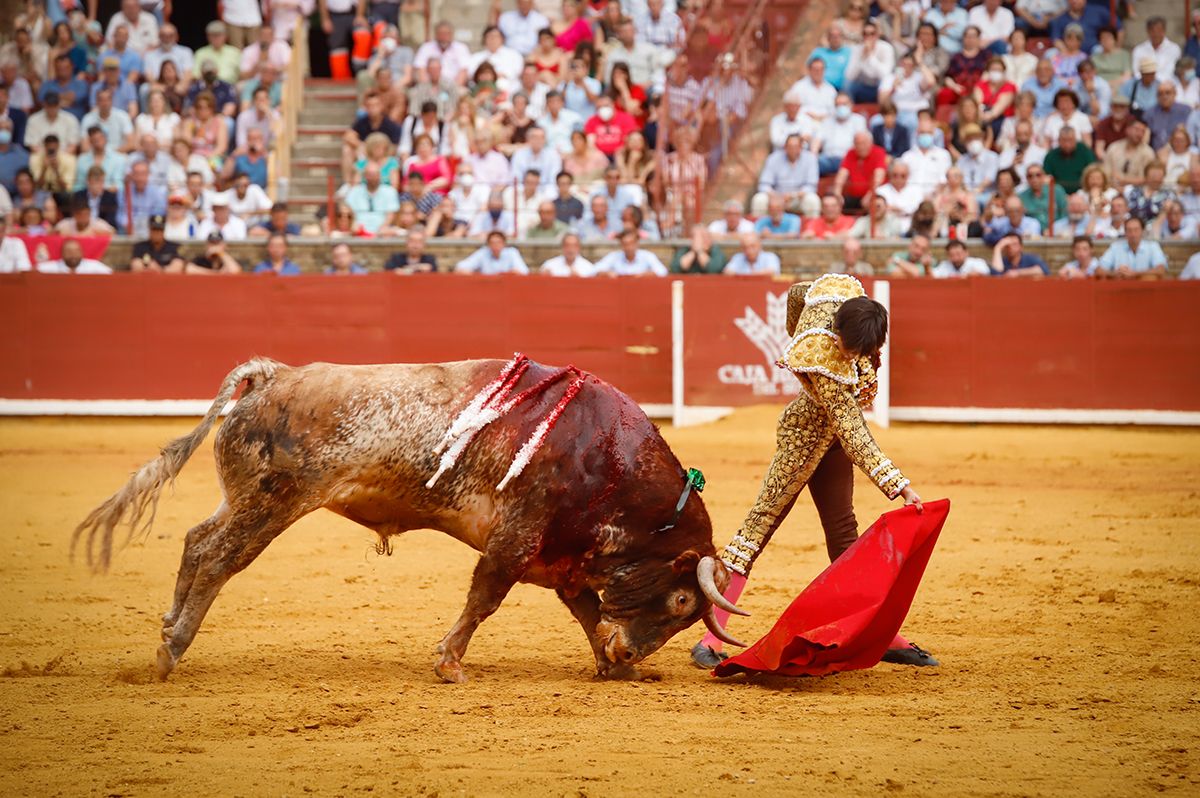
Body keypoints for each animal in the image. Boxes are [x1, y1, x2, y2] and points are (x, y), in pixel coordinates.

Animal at [75, 357, 744, 681]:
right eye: (682, 603)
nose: (633, 655)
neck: (605, 455)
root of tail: (272, 376)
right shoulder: (517, 538)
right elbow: (484, 598)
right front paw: (449, 664)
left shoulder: (560, 554)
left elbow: (583, 610)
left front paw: (608, 665)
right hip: (271, 503)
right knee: (218, 557)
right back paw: (172, 649)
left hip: (241, 498)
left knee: (195, 541)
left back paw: (168, 628)